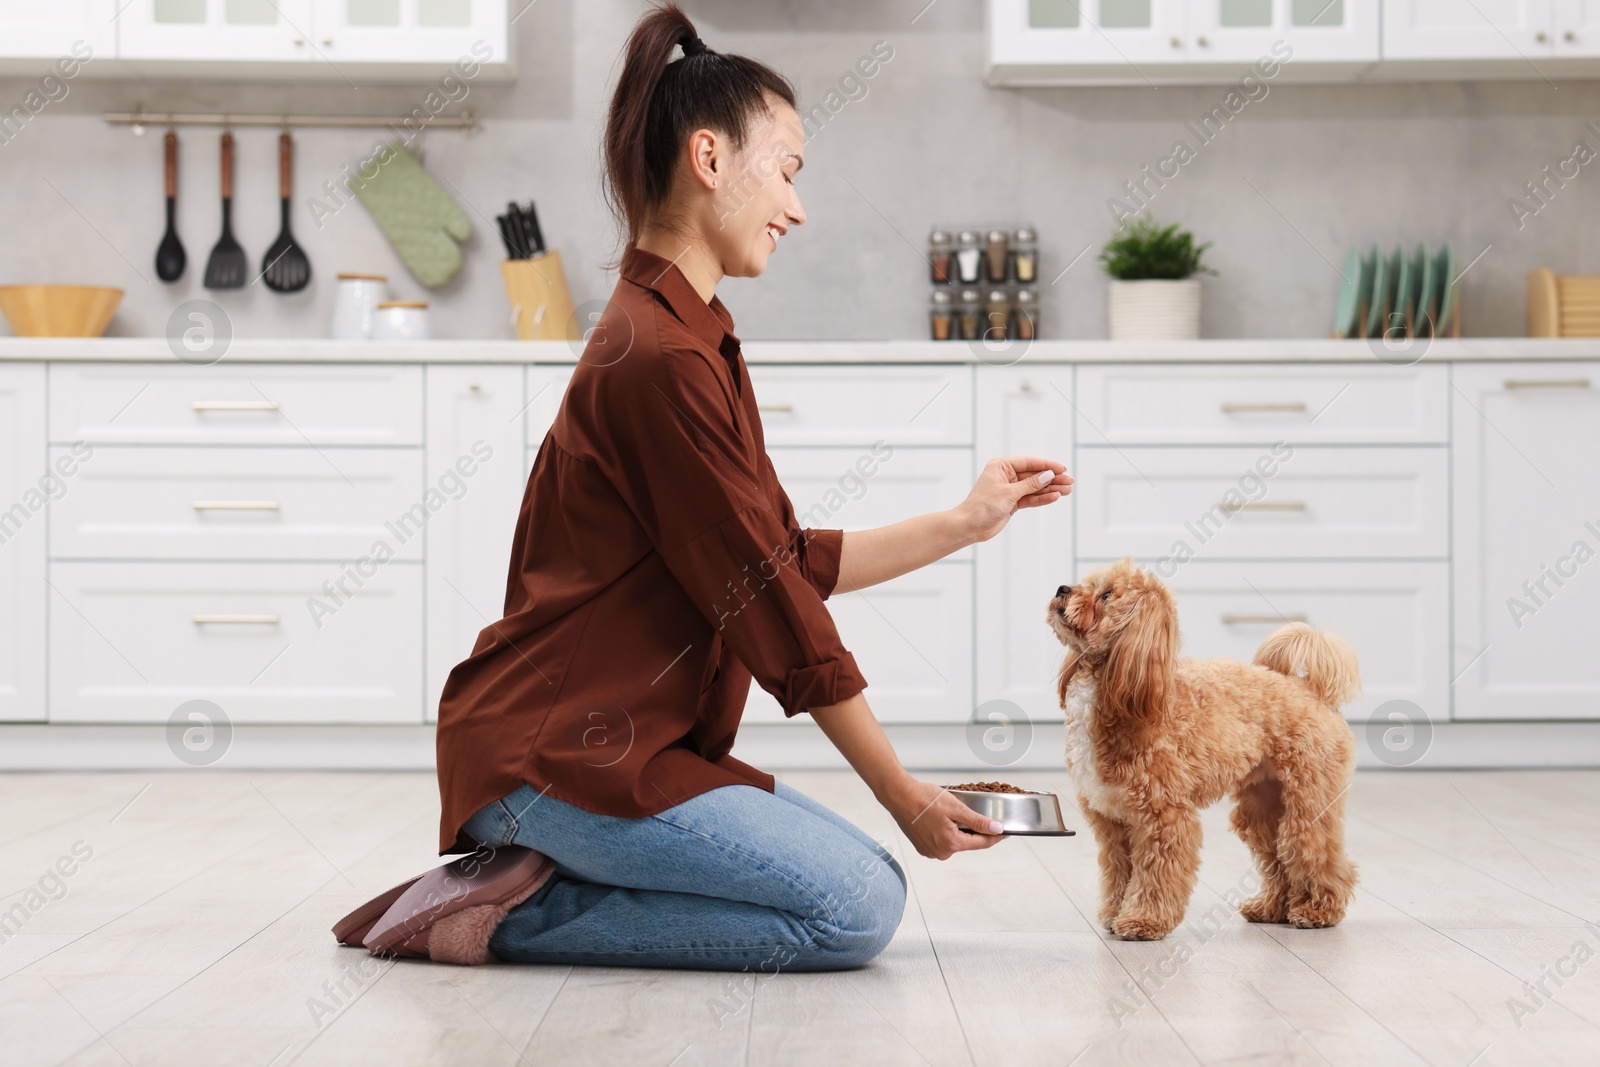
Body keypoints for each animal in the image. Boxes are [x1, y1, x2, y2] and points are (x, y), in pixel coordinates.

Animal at [1049, 559, 1363, 940]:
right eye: (1087, 583)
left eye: (1106, 594)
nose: (1062, 588)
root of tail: (1311, 691)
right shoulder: (1113, 823)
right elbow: (1119, 872)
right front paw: (1114, 913)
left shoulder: (1164, 817)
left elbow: (1155, 875)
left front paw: (1143, 920)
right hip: (1262, 808)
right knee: (1280, 859)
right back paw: (1271, 908)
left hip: (1308, 803)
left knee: (1319, 855)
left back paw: (1319, 910)